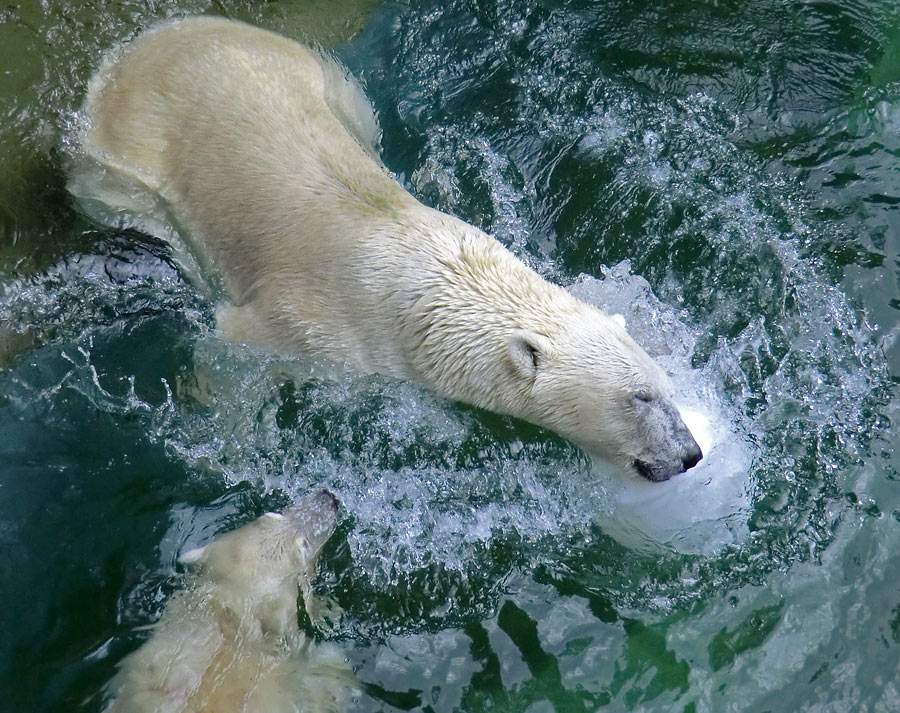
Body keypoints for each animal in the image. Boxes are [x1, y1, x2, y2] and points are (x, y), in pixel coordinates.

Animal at [70, 16, 704, 482]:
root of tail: (153, 39)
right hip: (124, 159)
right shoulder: (311, 324)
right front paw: (227, 444)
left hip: (320, 75)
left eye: (667, 389)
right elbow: (233, 351)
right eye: (640, 397)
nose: (691, 454)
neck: (435, 282)